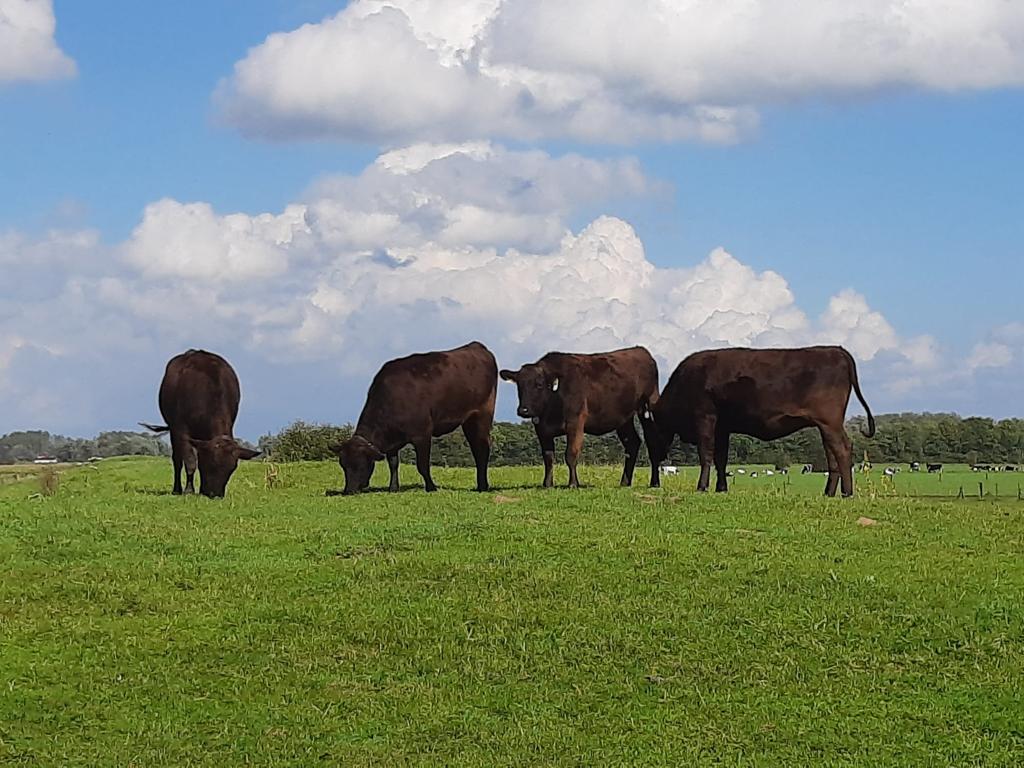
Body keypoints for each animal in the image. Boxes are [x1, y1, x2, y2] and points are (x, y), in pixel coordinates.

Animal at [140, 349, 259, 498]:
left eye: (232, 469)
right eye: (212, 464)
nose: (215, 494)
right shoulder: (181, 428)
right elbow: (190, 461)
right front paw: (189, 490)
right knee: (177, 460)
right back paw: (177, 489)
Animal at [331, 341, 497, 495]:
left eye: (360, 464)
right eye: (343, 465)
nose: (349, 490)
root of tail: (476, 346)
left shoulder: (422, 434)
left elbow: (422, 465)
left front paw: (431, 488)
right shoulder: (392, 442)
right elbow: (393, 463)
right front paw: (393, 488)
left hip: (482, 415)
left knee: (482, 449)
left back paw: (483, 486)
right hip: (469, 422)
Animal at [499, 346, 659, 488]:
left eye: (539, 384)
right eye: (519, 386)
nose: (523, 410)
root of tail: (641, 351)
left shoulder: (575, 423)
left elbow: (571, 454)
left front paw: (573, 484)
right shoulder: (541, 429)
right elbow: (548, 457)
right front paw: (547, 484)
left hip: (648, 408)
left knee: (652, 443)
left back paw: (655, 483)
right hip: (623, 419)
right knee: (632, 443)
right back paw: (625, 482)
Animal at [644, 346, 875, 497]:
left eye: (651, 431)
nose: (654, 457)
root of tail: (837, 350)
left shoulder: (705, 418)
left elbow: (706, 454)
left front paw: (702, 486)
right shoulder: (722, 427)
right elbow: (721, 458)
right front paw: (721, 488)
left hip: (830, 421)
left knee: (843, 449)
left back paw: (847, 492)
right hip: (825, 425)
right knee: (832, 453)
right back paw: (829, 492)